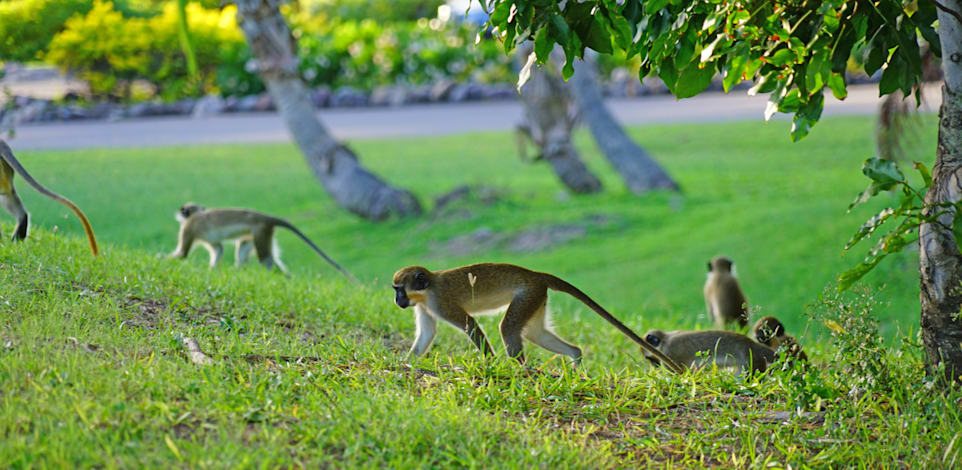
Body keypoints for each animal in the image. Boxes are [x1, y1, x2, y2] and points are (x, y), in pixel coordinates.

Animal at [169, 203, 356, 282]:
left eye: (183, 210)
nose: (179, 213)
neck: (196, 215)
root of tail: (266, 217)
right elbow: (219, 249)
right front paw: (212, 270)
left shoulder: (188, 228)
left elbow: (182, 254)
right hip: (261, 234)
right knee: (246, 252)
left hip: (260, 231)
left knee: (265, 260)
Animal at [386, 262, 688, 372]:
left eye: (399, 290)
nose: (398, 302)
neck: (427, 289)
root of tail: (536, 274)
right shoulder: (423, 306)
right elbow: (427, 334)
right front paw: (405, 362)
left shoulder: (440, 302)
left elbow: (470, 325)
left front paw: (490, 364)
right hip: (536, 297)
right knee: (534, 333)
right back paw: (575, 357)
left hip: (527, 294)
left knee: (508, 328)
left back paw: (520, 370)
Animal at [640, 330, 776, 374]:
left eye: (651, 359)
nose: (654, 366)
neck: (665, 339)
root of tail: (752, 345)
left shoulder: (669, 353)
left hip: (751, 362)